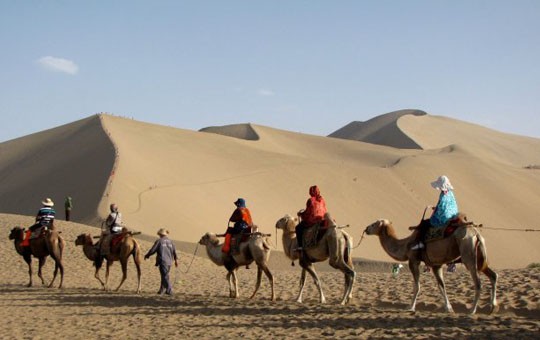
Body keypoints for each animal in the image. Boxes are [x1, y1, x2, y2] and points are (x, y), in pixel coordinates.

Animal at [364, 219, 500, 314]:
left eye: (375, 223)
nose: (366, 228)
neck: (406, 245)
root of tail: (476, 234)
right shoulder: (436, 265)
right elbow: (441, 286)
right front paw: (448, 308)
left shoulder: (413, 260)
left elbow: (417, 286)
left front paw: (410, 307)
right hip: (480, 258)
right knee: (493, 275)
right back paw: (493, 307)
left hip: (468, 254)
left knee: (478, 282)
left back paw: (472, 310)